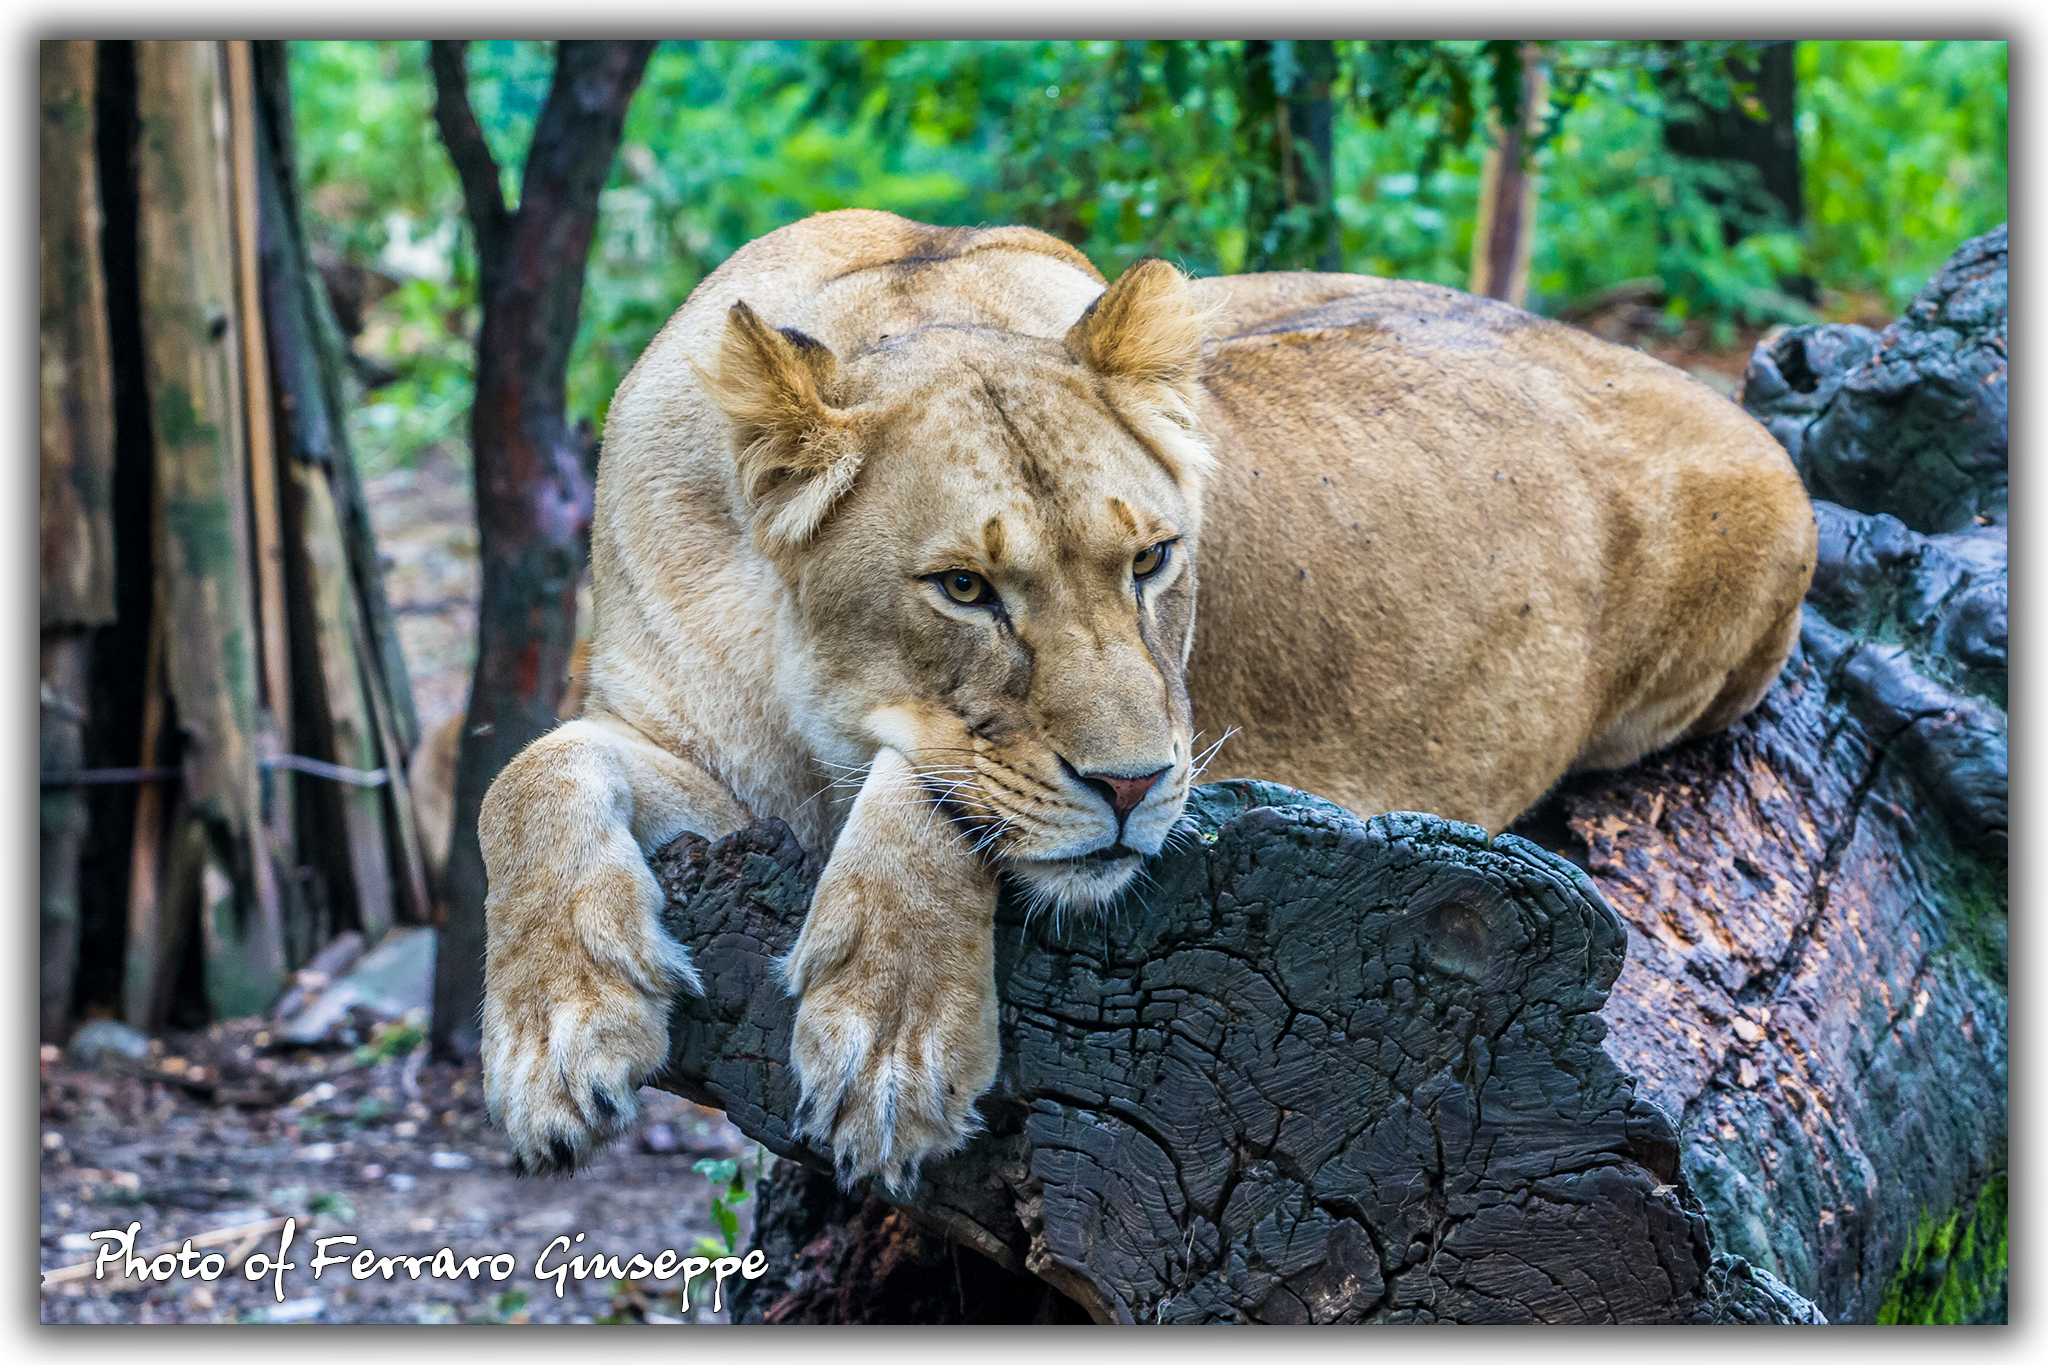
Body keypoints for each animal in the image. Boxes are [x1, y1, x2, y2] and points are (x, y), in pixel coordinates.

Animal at [478, 209, 1815, 1191]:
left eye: (1151, 561)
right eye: (962, 588)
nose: (1131, 786)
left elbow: (933, 788)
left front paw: (890, 1043)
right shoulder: (706, 767)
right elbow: (527, 776)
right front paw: (557, 1040)